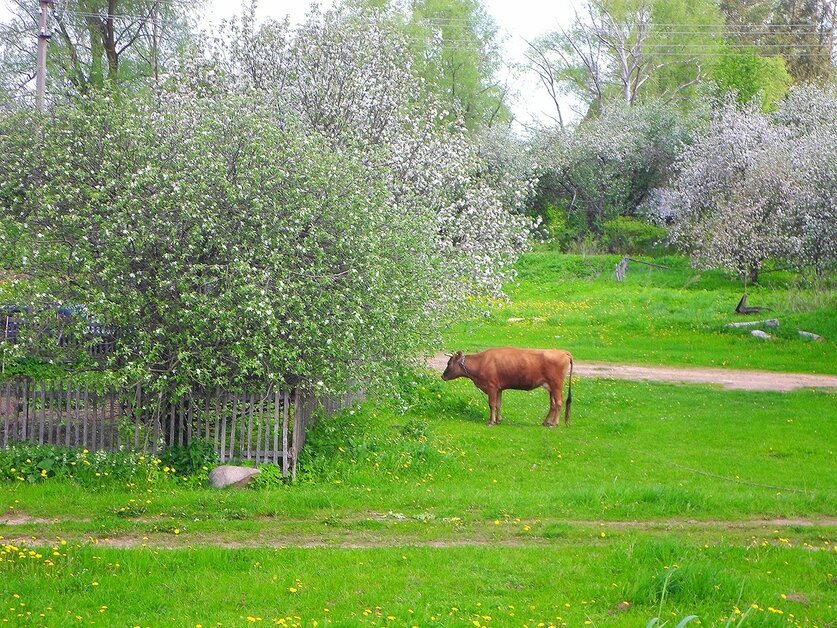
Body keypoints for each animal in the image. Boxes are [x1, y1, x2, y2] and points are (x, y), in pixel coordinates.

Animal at [440, 346, 572, 430]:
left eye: (449, 363)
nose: (442, 376)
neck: (482, 362)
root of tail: (563, 352)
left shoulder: (491, 386)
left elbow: (492, 404)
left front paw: (491, 421)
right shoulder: (499, 388)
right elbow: (498, 404)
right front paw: (499, 420)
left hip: (556, 385)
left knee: (559, 402)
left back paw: (554, 424)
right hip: (550, 387)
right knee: (553, 404)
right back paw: (546, 422)